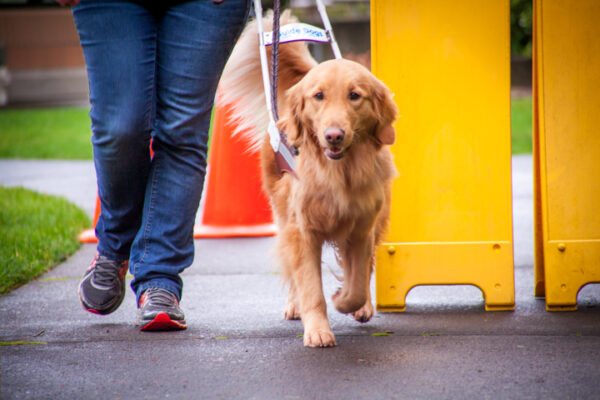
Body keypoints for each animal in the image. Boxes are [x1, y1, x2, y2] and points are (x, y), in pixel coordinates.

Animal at [220, 10, 398, 346]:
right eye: (318, 96)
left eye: (355, 96)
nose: (334, 136)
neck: (338, 174)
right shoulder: (302, 230)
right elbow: (310, 286)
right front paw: (317, 330)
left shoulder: (362, 227)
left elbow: (357, 281)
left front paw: (345, 299)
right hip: (283, 215)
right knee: (293, 272)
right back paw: (295, 306)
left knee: (367, 267)